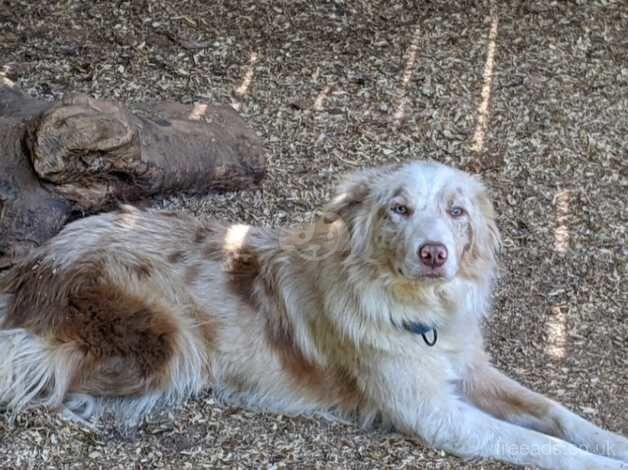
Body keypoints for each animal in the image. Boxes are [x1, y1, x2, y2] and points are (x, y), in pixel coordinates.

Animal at [0, 161, 624, 466]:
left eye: (456, 212)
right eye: (399, 209)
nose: (434, 253)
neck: (415, 308)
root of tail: (39, 258)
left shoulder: (469, 370)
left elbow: (557, 414)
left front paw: (612, 442)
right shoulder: (437, 416)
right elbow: (540, 446)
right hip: (169, 340)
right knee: (49, 379)